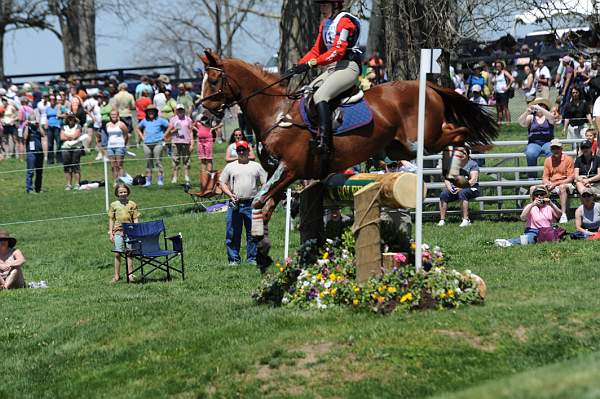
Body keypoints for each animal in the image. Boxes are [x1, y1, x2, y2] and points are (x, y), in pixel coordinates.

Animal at [199, 50, 500, 264]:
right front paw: (262, 249)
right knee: (454, 135)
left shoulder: (289, 169)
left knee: (459, 132)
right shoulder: (281, 175)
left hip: (421, 140)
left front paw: (261, 248)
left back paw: (455, 173)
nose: (204, 116)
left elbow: (259, 201)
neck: (276, 113)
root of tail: (427, 87)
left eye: (213, 81)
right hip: (399, 147)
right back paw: (455, 172)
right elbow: (266, 205)